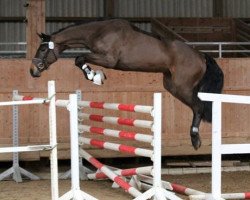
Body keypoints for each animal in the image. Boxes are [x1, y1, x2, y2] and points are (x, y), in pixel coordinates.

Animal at [30, 18, 224, 150]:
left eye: (42, 49)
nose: (33, 71)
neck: (98, 31)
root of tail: (201, 56)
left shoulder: (109, 59)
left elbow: (79, 59)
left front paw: (95, 77)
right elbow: (80, 59)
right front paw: (95, 76)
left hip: (181, 87)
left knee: (198, 107)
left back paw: (195, 139)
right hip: (171, 85)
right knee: (197, 106)